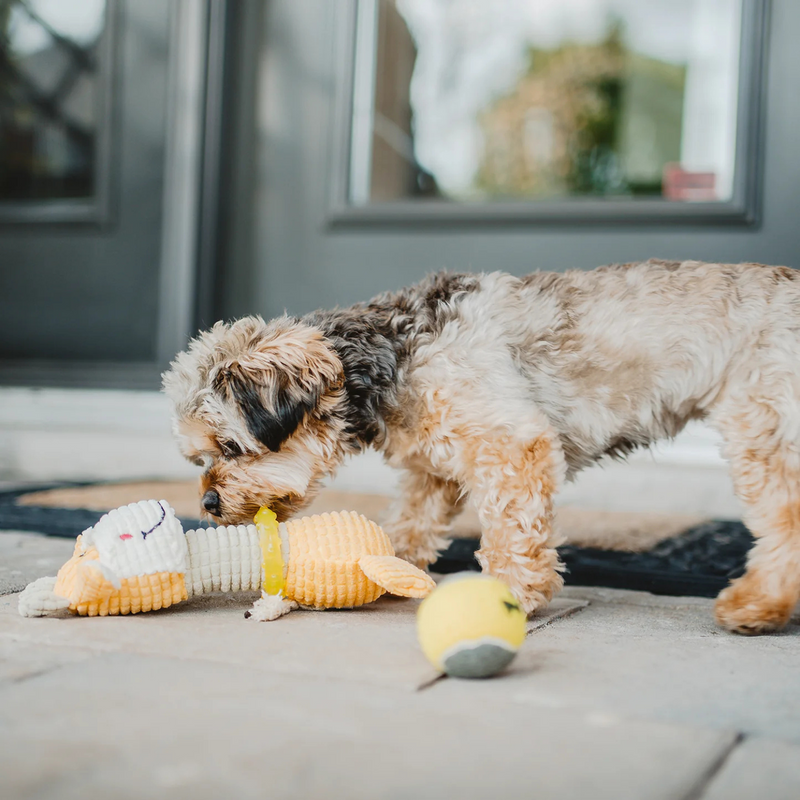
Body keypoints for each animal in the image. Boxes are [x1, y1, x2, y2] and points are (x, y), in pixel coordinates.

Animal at [162, 262, 800, 636]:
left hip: (759, 426)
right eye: (199, 460)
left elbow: (510, 535)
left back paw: (755, 606)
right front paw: (387, 566)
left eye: (229, 445)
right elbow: (410, 525)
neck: (391, 356)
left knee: (786, 521)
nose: (209, 504)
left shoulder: (514, 445)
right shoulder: (431, 470)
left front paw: (513, 593)